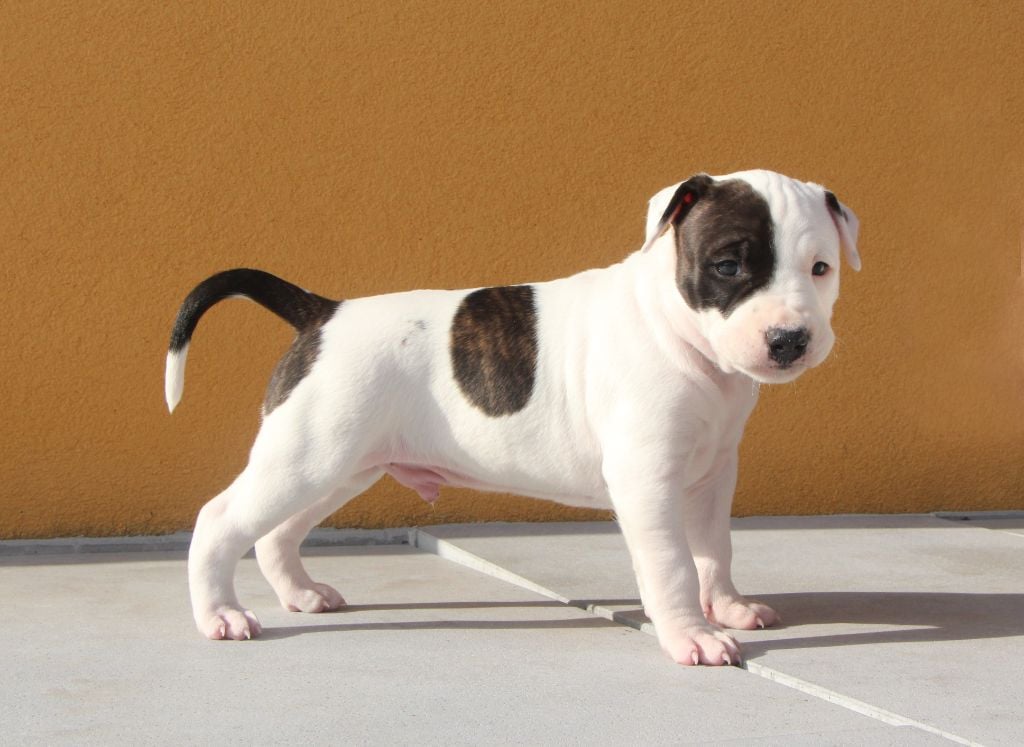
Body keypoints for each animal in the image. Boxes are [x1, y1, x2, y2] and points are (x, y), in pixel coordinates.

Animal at [165, 169, 860, 666]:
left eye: (820, 269)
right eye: (728, 266)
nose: (790, 339)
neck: (676, 329)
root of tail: (323, 312)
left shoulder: (711, 477)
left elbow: (714, 549)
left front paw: (729, 608)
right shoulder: (647, 479)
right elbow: (673, 565)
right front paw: (692, 636)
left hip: (339, 463)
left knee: (276, 531)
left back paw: (302, 595)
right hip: (306, 457)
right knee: (220, 519)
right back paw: (218, 616)